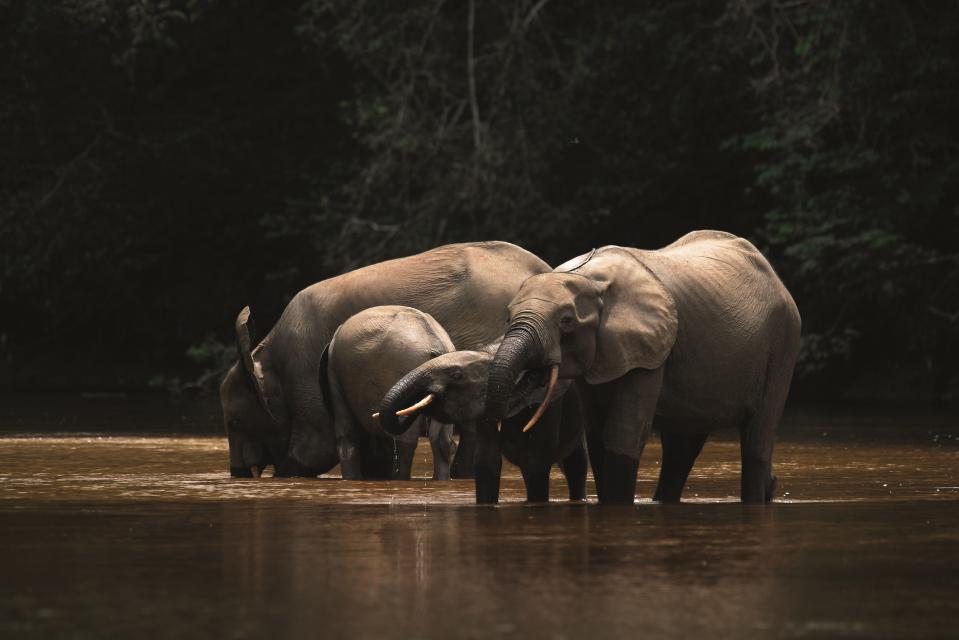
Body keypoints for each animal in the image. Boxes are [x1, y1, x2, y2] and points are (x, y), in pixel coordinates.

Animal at [318, 304, 458, 480]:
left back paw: (400, 479)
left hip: (401, 367)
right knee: (441, 440)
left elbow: (347, 437)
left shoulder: (334, 375)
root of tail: (436, 341)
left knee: (406, 440)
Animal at [480, 230, 804, 504]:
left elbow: (624, 430)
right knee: (680, 449)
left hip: (782, 343)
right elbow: (597, 434)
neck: (589, 277)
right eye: (508, 317)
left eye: (567, 321)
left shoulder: (649, 349)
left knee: (756, 439)